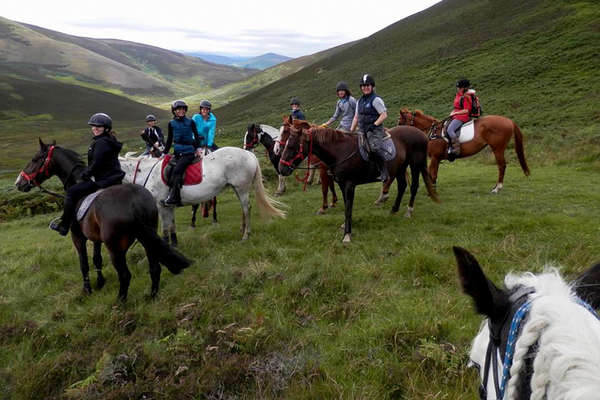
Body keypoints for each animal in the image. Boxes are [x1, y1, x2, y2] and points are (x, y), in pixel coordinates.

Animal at [16, 140, 191, 300]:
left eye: (35, 159)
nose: (19, 182)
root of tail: (134, 203)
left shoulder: (78, 237)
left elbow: (84, 263)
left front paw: (87, 290)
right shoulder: (96, 238)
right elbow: (97, 259)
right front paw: (100, 282)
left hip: (115, 247)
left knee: (125, 275)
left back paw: (120, 302)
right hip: (147, 239)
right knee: (155, 268)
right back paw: (152, 296)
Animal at [398, 108, 528, 192]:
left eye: (400, 122)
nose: (398, 135)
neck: (433, 132)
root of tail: (508, 120)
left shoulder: (434, 158)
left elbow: (432, 175)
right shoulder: (437, 159)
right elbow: (433, 175)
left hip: (498, 149)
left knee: (502, 166)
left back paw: (497, 188)